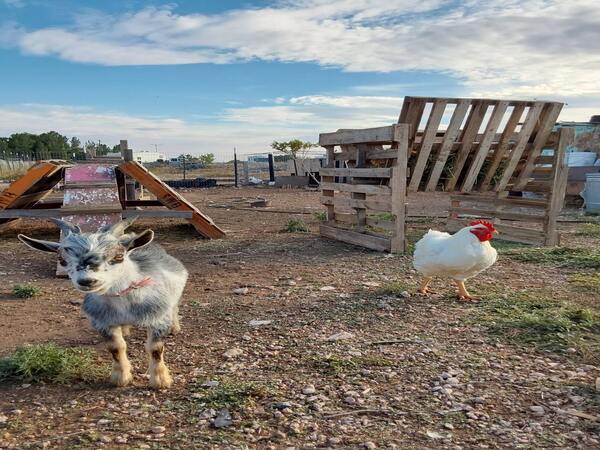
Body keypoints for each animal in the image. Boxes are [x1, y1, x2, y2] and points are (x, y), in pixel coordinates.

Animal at [18, 216, 188, 388]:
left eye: (119, 257)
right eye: (62, 260)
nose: (87, 280)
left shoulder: (157, 317)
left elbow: (155, 349)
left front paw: (160, 380)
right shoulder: (103, 321)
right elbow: (116, 347)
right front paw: (121, 377)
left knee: (174, 308)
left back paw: (175, 327)